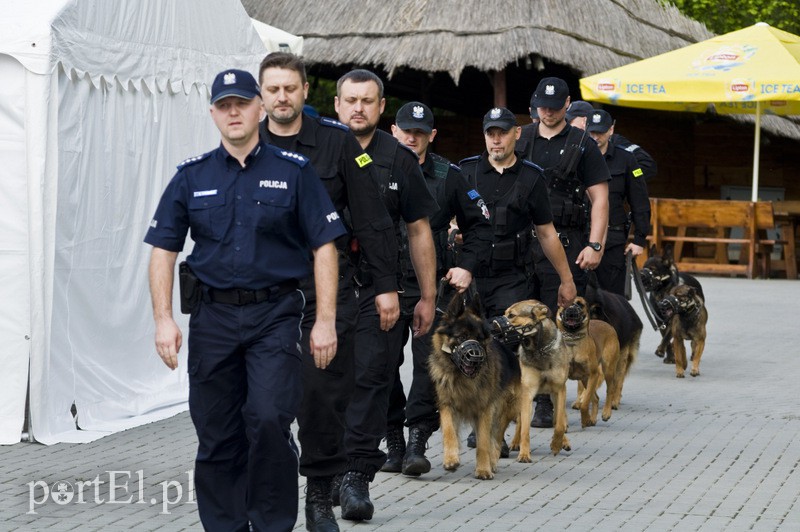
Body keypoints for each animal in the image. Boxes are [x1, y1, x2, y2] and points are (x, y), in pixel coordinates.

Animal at [428, 290, 520, 482]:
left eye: (479, 338)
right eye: (462, 337)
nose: (476, 357)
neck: (462, 378)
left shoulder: (485, 410)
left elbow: (484, 441)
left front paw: (484, 469)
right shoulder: (447, 405)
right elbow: (449, 432)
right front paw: (450, 460)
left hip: (502, 410)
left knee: (496, 438)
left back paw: (492, 461)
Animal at [504, 302, 572, 464]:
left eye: (511, 315)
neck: (540, 349)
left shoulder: (559, 390)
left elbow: (559, 424)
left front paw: (556, 444)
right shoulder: (527, 392)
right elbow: (525, 429)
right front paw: (524, 454)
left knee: (560, 417)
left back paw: (563, 441)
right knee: (520, 422)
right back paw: (515, 443)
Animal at [552, 298, 604, 426]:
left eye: (580, 304)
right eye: (565, 303)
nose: (571, 309)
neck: (572, 340)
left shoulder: (594, 374)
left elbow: (585, 403)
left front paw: (585, 418)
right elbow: (560, 405)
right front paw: (562, 423)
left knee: (594, 397)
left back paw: (592, 418)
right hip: (585, 380)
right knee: (595, 398)